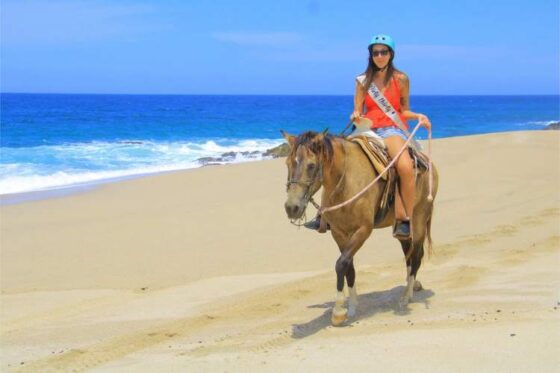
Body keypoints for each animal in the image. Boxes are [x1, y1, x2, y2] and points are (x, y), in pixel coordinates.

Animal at [282, 130, 440, 326]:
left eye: (311, 166)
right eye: (287, 163)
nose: (292, 207)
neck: (346, 181)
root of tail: (429, 163)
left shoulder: (363, 230)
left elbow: (341, 263)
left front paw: (338, 311)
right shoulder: (339, 233)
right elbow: (349, 267)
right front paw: (352, 307)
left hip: (419, 219)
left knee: (417, 255)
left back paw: (406, 297)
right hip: (402, 228)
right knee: (408, 254)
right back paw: (412, 286)